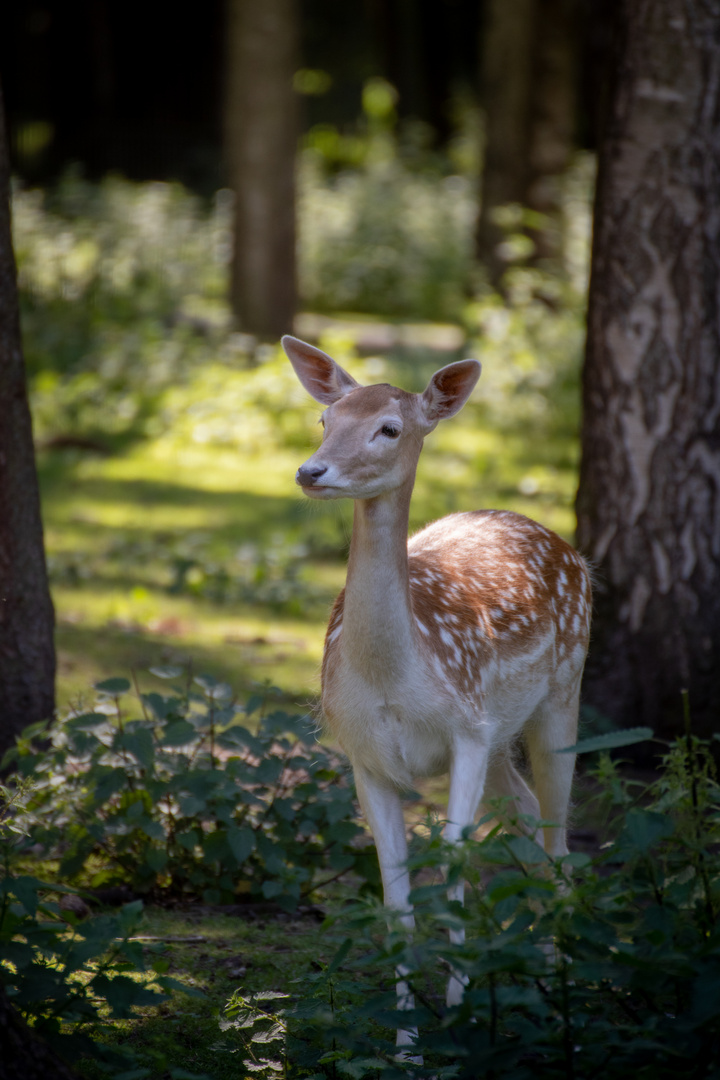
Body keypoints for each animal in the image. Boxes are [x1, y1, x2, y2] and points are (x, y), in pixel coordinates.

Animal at [280, 332, 591, 1049]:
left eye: (388, 428)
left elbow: (454, 865)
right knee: (528, 818)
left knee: (559, 837)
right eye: (325, 419)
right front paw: (407, 1043)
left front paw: (460, 1016)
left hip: (562, 694)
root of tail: (567, 546)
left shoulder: (465, 730)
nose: (312, 471)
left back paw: (562, 998)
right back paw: (534, 983)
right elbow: (397, 898)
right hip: (502, 735)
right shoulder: (364, 753)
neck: (394, 678)